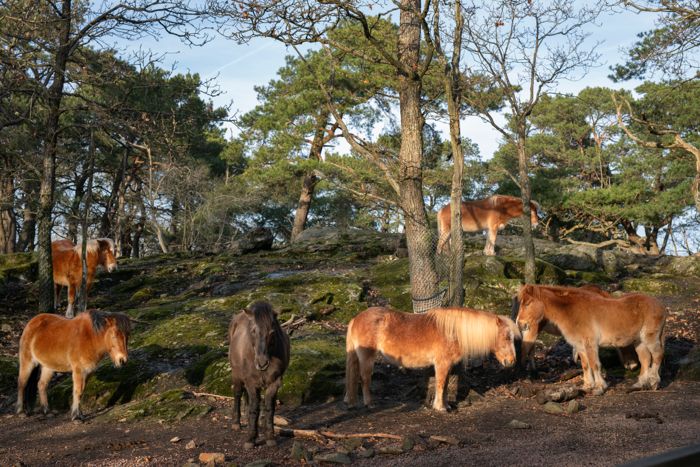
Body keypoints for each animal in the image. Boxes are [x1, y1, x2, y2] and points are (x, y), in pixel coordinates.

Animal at [229, 301, 290, 449]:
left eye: (272, 332)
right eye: (253, 331)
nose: (262, 363)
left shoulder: (275, 382)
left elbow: (269, 408)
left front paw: (270, 437)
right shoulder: (251, 383)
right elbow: (254, 408)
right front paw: (251, 439)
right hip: (236, 374)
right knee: (238, 394)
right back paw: (236, 423)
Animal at [344, 306, 520, 411]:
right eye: (506, 337)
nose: (511, 361)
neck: (453, 332)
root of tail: (355, 318)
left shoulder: (446, 365)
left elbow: (446, 384)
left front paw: (446, 405)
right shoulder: (442, 364)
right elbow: (440, 384)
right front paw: (440, 407)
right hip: (367, 358)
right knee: (364, 379)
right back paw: (369, 403)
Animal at [516, 284, 667, 395]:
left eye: (527, 303)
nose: (520, 323)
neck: (572, 311)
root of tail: (660, 305)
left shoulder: (590, 344)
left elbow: (595, 364)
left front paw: (599, 388)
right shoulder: (580, 346)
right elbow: (585, 365)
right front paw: (587, 386)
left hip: (649, 338)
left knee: (657, 355)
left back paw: (654, 383)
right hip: (639, 341)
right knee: (645, 359)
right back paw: (639, 384)